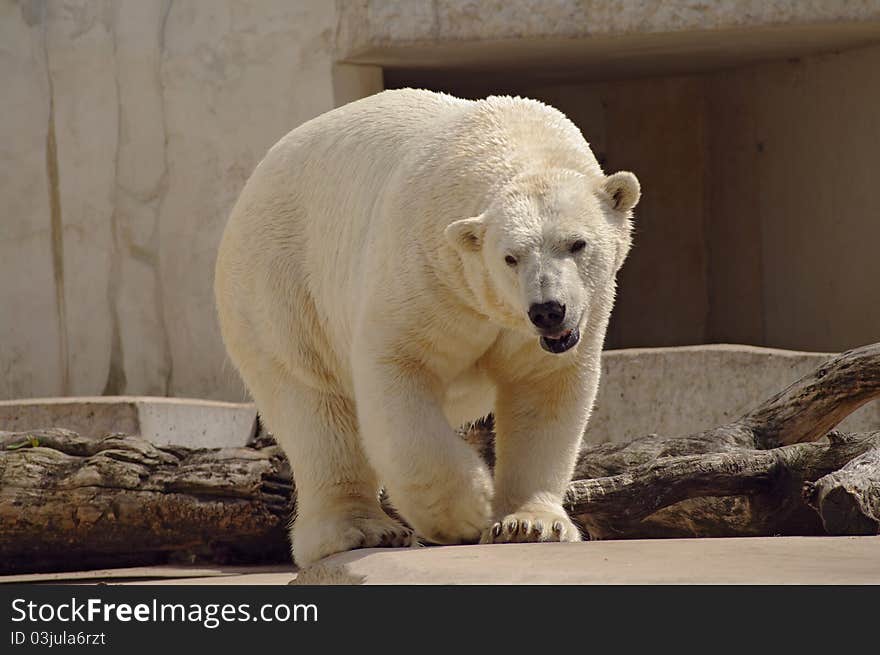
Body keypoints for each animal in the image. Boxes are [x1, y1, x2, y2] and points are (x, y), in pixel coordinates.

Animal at [213, 88, 640, 568]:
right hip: (279, 286)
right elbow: (399, 374)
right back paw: (361, 529)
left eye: (577, 243)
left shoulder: (552, 326)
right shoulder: (426, 272)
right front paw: (470, 509)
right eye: (510, 257)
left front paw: (529, 524)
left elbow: (543, 388)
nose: (548, 310)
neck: (510, 137)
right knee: (313, 404)